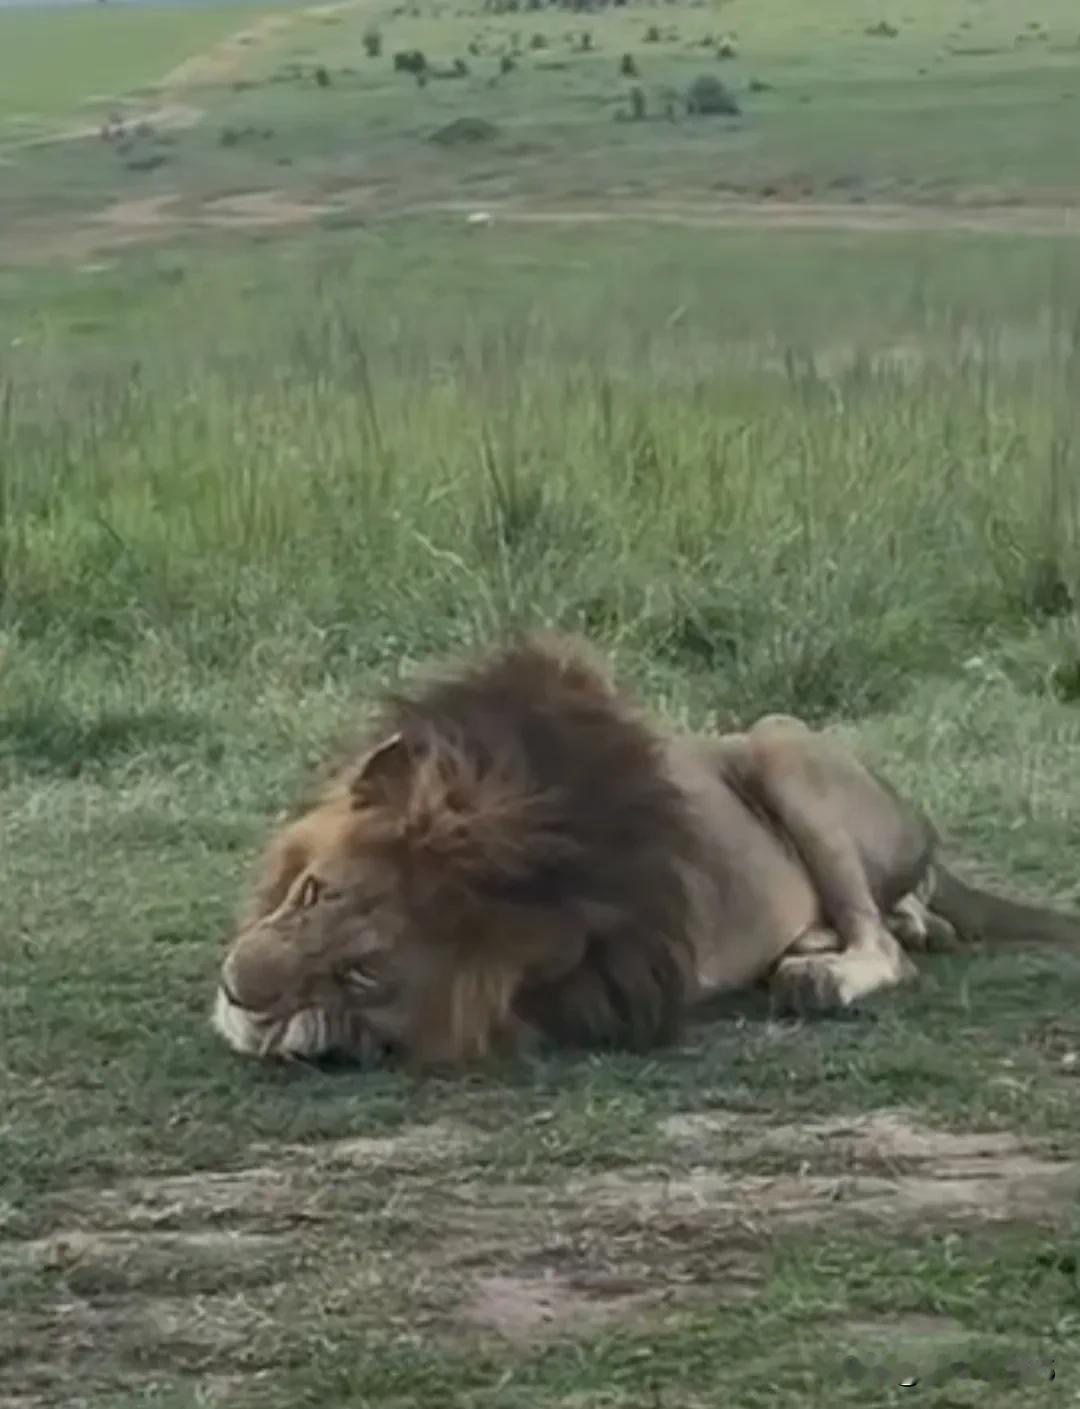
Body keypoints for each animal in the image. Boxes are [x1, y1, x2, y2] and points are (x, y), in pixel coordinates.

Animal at [211, 634, 1080, 1070]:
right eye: (311, 891)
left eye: (361, 971)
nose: (235, 984)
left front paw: (295, 1028)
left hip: (779, 740)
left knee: (885, 949)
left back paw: (824, 973)